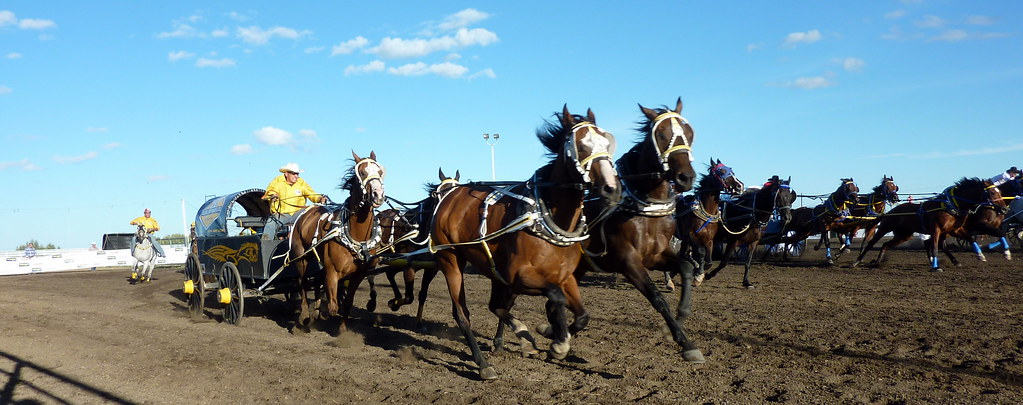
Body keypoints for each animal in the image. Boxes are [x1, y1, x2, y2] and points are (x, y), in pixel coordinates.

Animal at [286, 150, 384, 333]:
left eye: (380, 171)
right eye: (362, 172)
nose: (378, 194)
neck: (356, 235)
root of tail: (306, 212)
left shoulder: (358, 274)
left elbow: (347, 302)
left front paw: (343, 328)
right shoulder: (332, 270)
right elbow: (333, 307)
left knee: (314, 282)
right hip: (301, 256)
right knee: (301, 284)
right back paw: (304, 316)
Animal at [427, 105, 617, 380]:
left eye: (607, 141)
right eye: (581, 145)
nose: (611, 188)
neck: (546, 217)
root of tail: (450, 196)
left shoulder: (565, 277)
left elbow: (582, 316)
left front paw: (550, 334)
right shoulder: (520, 277)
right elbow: (556, 298)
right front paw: (557, 341)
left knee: (495, 306)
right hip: (450, 260)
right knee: (462, 314)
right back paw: (483, 363)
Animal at [576, 98, 712, 364]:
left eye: (689, 133)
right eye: (661, 134)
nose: (685, 177)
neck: (645, 210)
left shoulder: (657, 255)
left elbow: (686, 268)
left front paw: (679, 321)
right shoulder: (628, 262)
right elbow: (657, 298)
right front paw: (684, 342)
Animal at [675, 158, 748, 288]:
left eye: (731, 170)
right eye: (720, 172)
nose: (740, 186)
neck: (706, 212)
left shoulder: (709, 240)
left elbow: (708, 261)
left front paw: (699, 273)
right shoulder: (690, 235)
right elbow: (701, 251)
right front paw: (697, 274)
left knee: (683, 254)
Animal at [855, 177, 1006, 270]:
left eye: (999, 191)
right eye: (992, 193)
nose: (1004, 208)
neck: (950, 206)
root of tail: (890, 212)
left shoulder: (954, 230)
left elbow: (969, 238)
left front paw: (980, 255)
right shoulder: (936, 230)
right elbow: (934, 248)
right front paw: (936, 266)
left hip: (904, 235)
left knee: (885, 245)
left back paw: (878, 262)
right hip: (885, 228)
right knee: (871, 243)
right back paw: (857, 261)